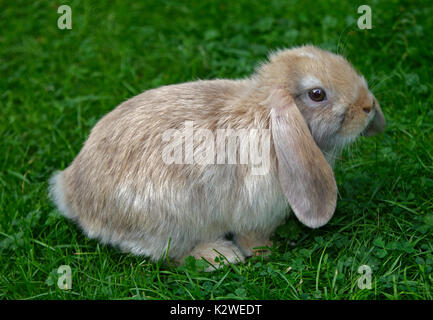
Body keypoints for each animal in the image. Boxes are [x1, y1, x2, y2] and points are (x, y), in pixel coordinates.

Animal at [49, 45, 384, 268]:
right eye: (317, 94)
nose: (368, 105)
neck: (267, 117)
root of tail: (70, 193)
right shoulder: (254, 210)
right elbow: (252, 238)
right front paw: (267, 251)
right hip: (172, 222)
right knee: (172, 256)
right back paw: (220, 256)